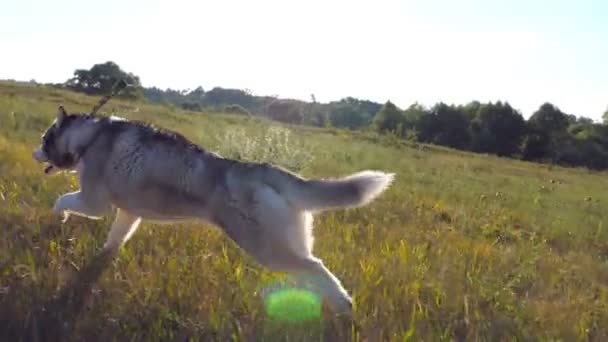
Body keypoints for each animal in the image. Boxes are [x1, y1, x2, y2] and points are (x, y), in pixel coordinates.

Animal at [32, 105, 394, 314]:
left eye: (45, 138)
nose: (35, 153)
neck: (90, 136)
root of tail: (263, 168)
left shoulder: (95, 203)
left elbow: (61, 200)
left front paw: (58, 216)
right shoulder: (127, 212)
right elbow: (114, 241)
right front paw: (103, 259)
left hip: (266, 247)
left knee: (315, 266)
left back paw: (343, 304)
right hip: (286, 241)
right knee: (309, 269)